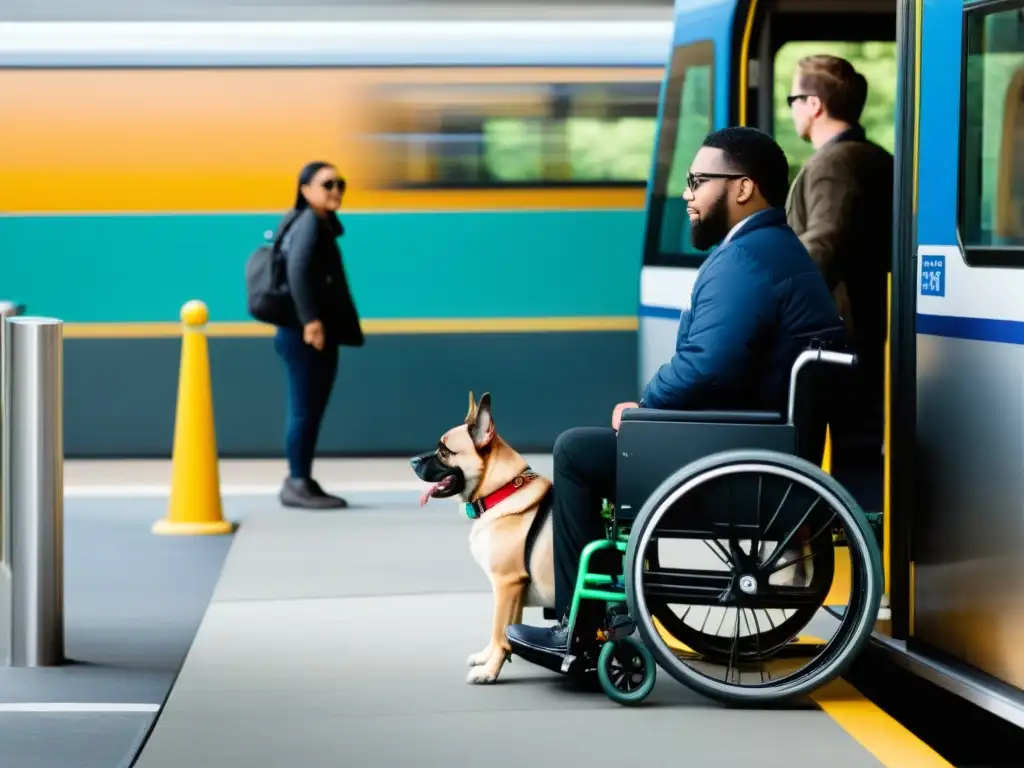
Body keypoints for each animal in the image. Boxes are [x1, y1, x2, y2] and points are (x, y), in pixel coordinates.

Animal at [407, 393, 557, 688]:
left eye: (444, 451)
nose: (412, 460)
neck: (501, 491)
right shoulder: (512, 591)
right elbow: (504, 631)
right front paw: (488, 658)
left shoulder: (507, 585)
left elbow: (500, 632)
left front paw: (489, 671)